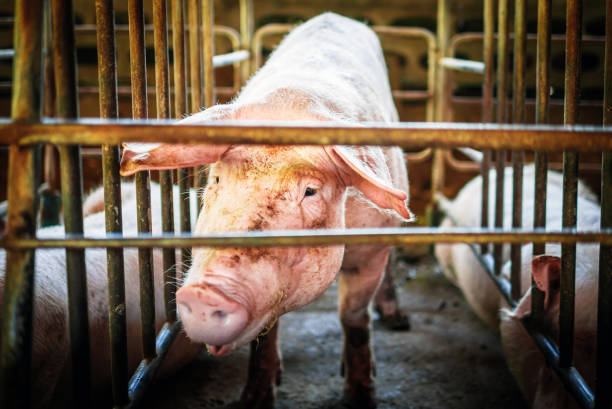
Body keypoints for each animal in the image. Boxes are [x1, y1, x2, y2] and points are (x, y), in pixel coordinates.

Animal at [117, 12, 414, 408]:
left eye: (310, 191)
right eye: (216, 180)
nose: (204, 294)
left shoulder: (371, 249)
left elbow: (353, 317)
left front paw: (360, 397)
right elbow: (266, 334)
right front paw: (254, 398)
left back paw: (398, 319)